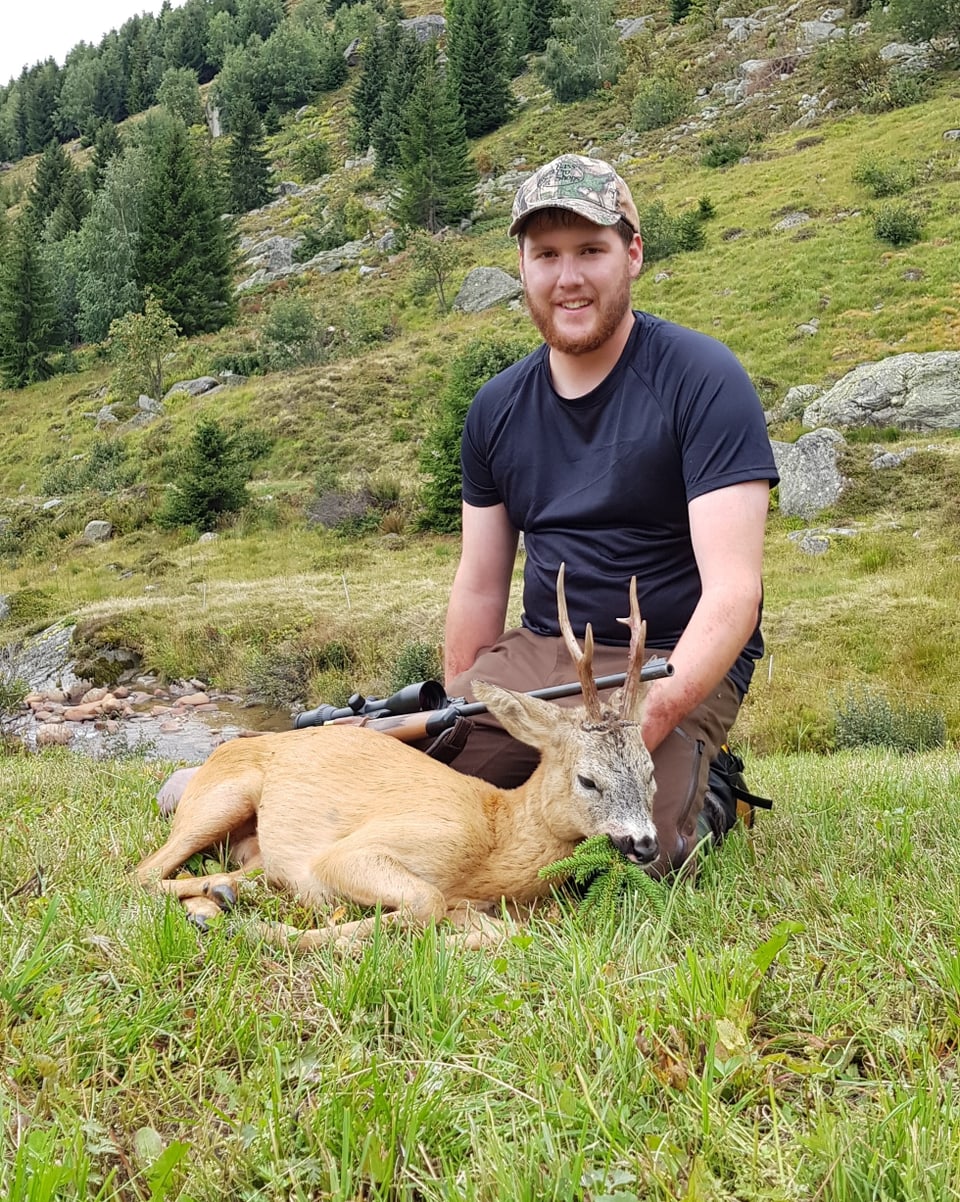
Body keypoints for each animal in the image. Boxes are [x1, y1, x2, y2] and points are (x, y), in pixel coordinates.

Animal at [136, 562, 663, 947]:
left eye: (650, 773)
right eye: (587, 779)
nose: (645, 844)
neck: (494, 841)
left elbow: (507, 934)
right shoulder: (358, 851)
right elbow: (427, 903)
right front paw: (255, 930)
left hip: (255, 848)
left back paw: (223, 893)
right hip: (221, 798)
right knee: (139, 874)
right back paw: (213, 900)